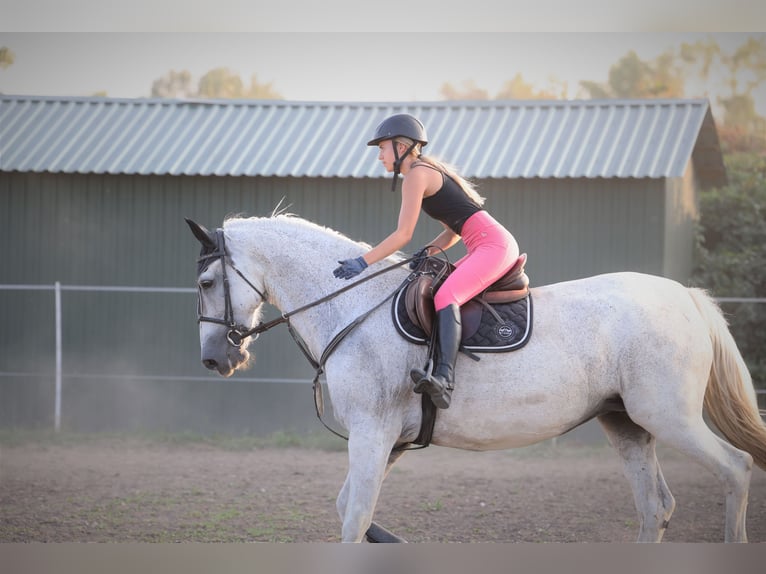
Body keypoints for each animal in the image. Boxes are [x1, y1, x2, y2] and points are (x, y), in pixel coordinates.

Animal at [186, 214, 766, 544]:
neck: (353, 307)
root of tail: (685, 296)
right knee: (655, 508)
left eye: (207, 281)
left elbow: (353, 518)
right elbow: (350, 510)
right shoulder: (388, 440)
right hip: (626, 423)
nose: (215, 359)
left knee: (736, 469)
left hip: (667, 416)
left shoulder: (372, 433)